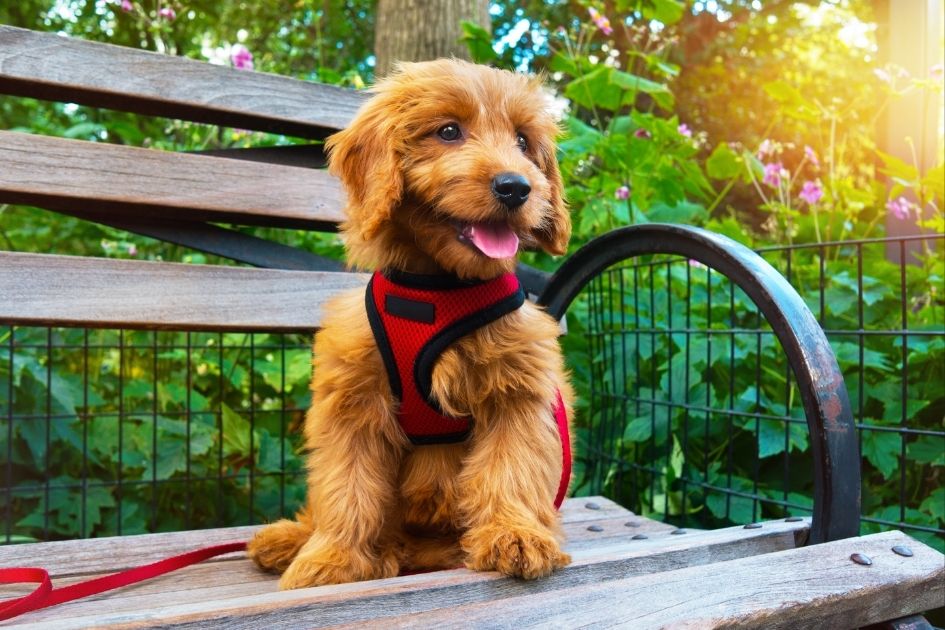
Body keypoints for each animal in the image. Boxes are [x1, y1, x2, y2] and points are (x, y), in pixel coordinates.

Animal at [247, 60, 576, 592]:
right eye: (448, 131)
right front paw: (334, 558)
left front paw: (515, 535)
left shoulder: (517, 394)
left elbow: (510, 468)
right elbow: (347, 486)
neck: (438, 288)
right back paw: (292, 539)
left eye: (523, 142)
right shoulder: (354, 401)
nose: (516, 187)